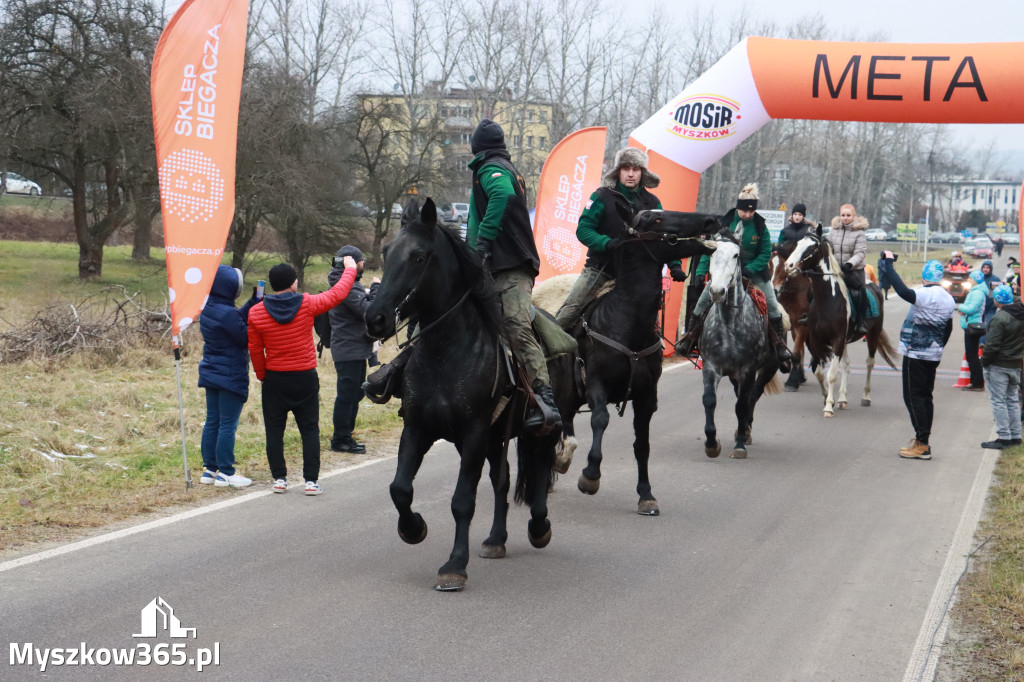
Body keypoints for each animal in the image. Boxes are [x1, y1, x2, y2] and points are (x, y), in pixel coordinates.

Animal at [366, 197, 561, 589]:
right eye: (386, 251)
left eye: (419, 257)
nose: (375, 318)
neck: (446, 351)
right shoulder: (418, 429)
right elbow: (400, 489)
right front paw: (413, 528)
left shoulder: (473, 434)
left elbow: (462, 501)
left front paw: (455, 564)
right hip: (494, 439)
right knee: (502, 481)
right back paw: (496, 539)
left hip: (541, 430)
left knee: (538, 472)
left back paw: (539, 527)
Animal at [552, 209, 720, 512]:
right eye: (655, 219)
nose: (710, 220)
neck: (627, 322)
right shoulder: (595, 385)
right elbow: (601, 419)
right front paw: (590, 476)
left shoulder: (646, 396)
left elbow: (642, 445)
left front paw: (646, 495)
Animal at [700, 231, 778, 458]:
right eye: (711, 253)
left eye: (736, 255)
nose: (717, 291)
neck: (729, 325)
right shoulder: (711, 367)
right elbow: (709, 399)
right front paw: (711, 443)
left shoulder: (748, 371)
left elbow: (743, 404)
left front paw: (740, 444)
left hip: (769, 368)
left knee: (752, 397)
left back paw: (745, 431)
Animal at [782, 225, 897, 413]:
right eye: (798, 244)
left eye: (812, 247)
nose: (789, 265)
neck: (827, 299)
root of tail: (874, 287)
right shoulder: (817, 340)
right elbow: (820, 372)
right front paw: (826, 398)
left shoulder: (837, 340)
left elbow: (831, 375)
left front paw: (829, 406)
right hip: (846, 341)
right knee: (846, 365)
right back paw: (842, 398)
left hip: (872, 335)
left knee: (869, 363)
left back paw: (865, 397)